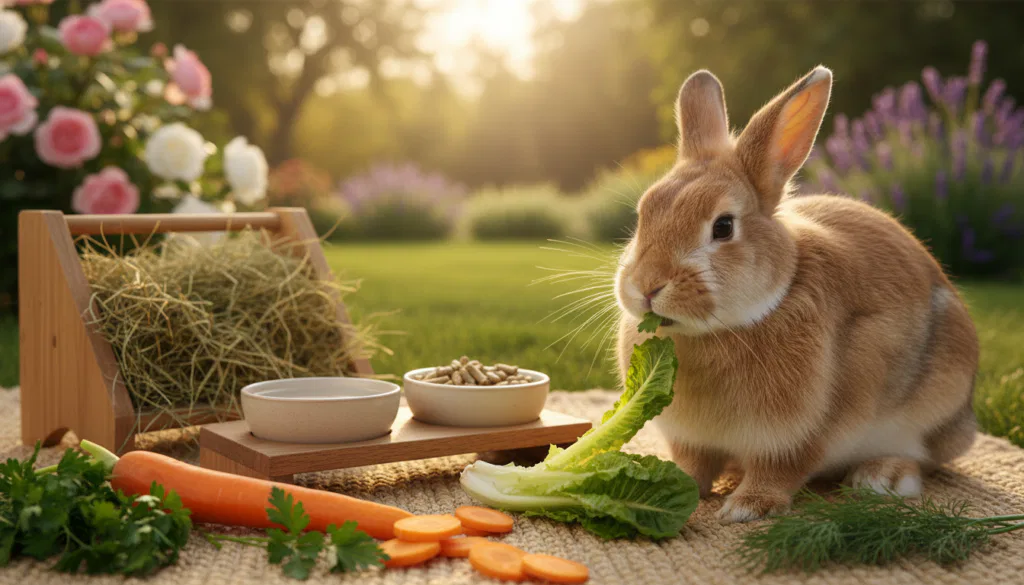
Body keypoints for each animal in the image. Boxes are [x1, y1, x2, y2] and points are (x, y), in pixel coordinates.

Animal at [614, 66, 979, 524]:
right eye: (643, 213)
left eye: (723, 227)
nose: (646, 286)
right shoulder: (692, 439)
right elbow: (693, 464)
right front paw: (679, 485)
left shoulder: (800, 435)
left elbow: (780, 469)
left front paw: (745, 508)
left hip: (936, 406)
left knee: (923, 458)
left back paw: (883, 478)